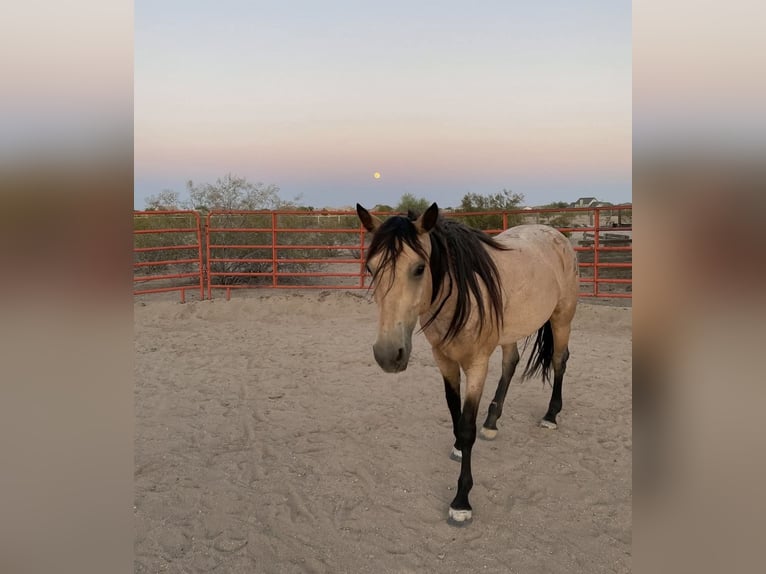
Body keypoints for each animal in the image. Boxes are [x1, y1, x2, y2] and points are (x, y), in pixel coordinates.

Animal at [356, 202, 579, 525]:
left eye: (419, 268)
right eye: (371, 268)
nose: (388, 354)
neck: (461, 296)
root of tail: (555, 235)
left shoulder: (476, 365)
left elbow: (466, 426)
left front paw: (461, 501)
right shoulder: (444, 360)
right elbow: (454, 411)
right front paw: (459, 448)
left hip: (562, 318)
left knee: (560, 361)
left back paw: (550, 415)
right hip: (511, 330)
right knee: (511, 363)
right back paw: (492, 423)